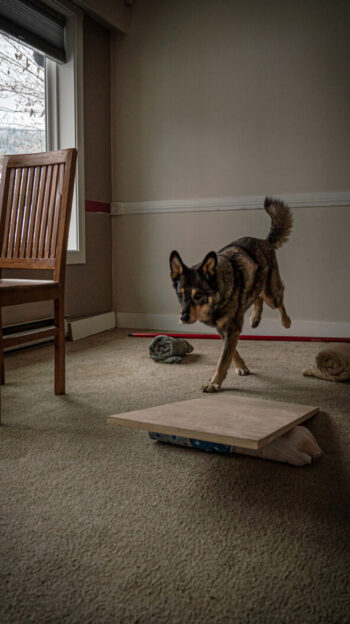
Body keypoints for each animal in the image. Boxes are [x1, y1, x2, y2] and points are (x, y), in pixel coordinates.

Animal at [170, 197, 292, 392]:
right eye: (180, 295)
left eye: (198, 295)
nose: (183, 317)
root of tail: (265, 242)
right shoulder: (223, 329)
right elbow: (231, 351)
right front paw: (240, 366)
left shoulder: (232, 327)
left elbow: (223, 359)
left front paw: (214, 383)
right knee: (257, 297)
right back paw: (255, 318)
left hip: (271, 293)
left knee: (278, 301)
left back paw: (285, 321)